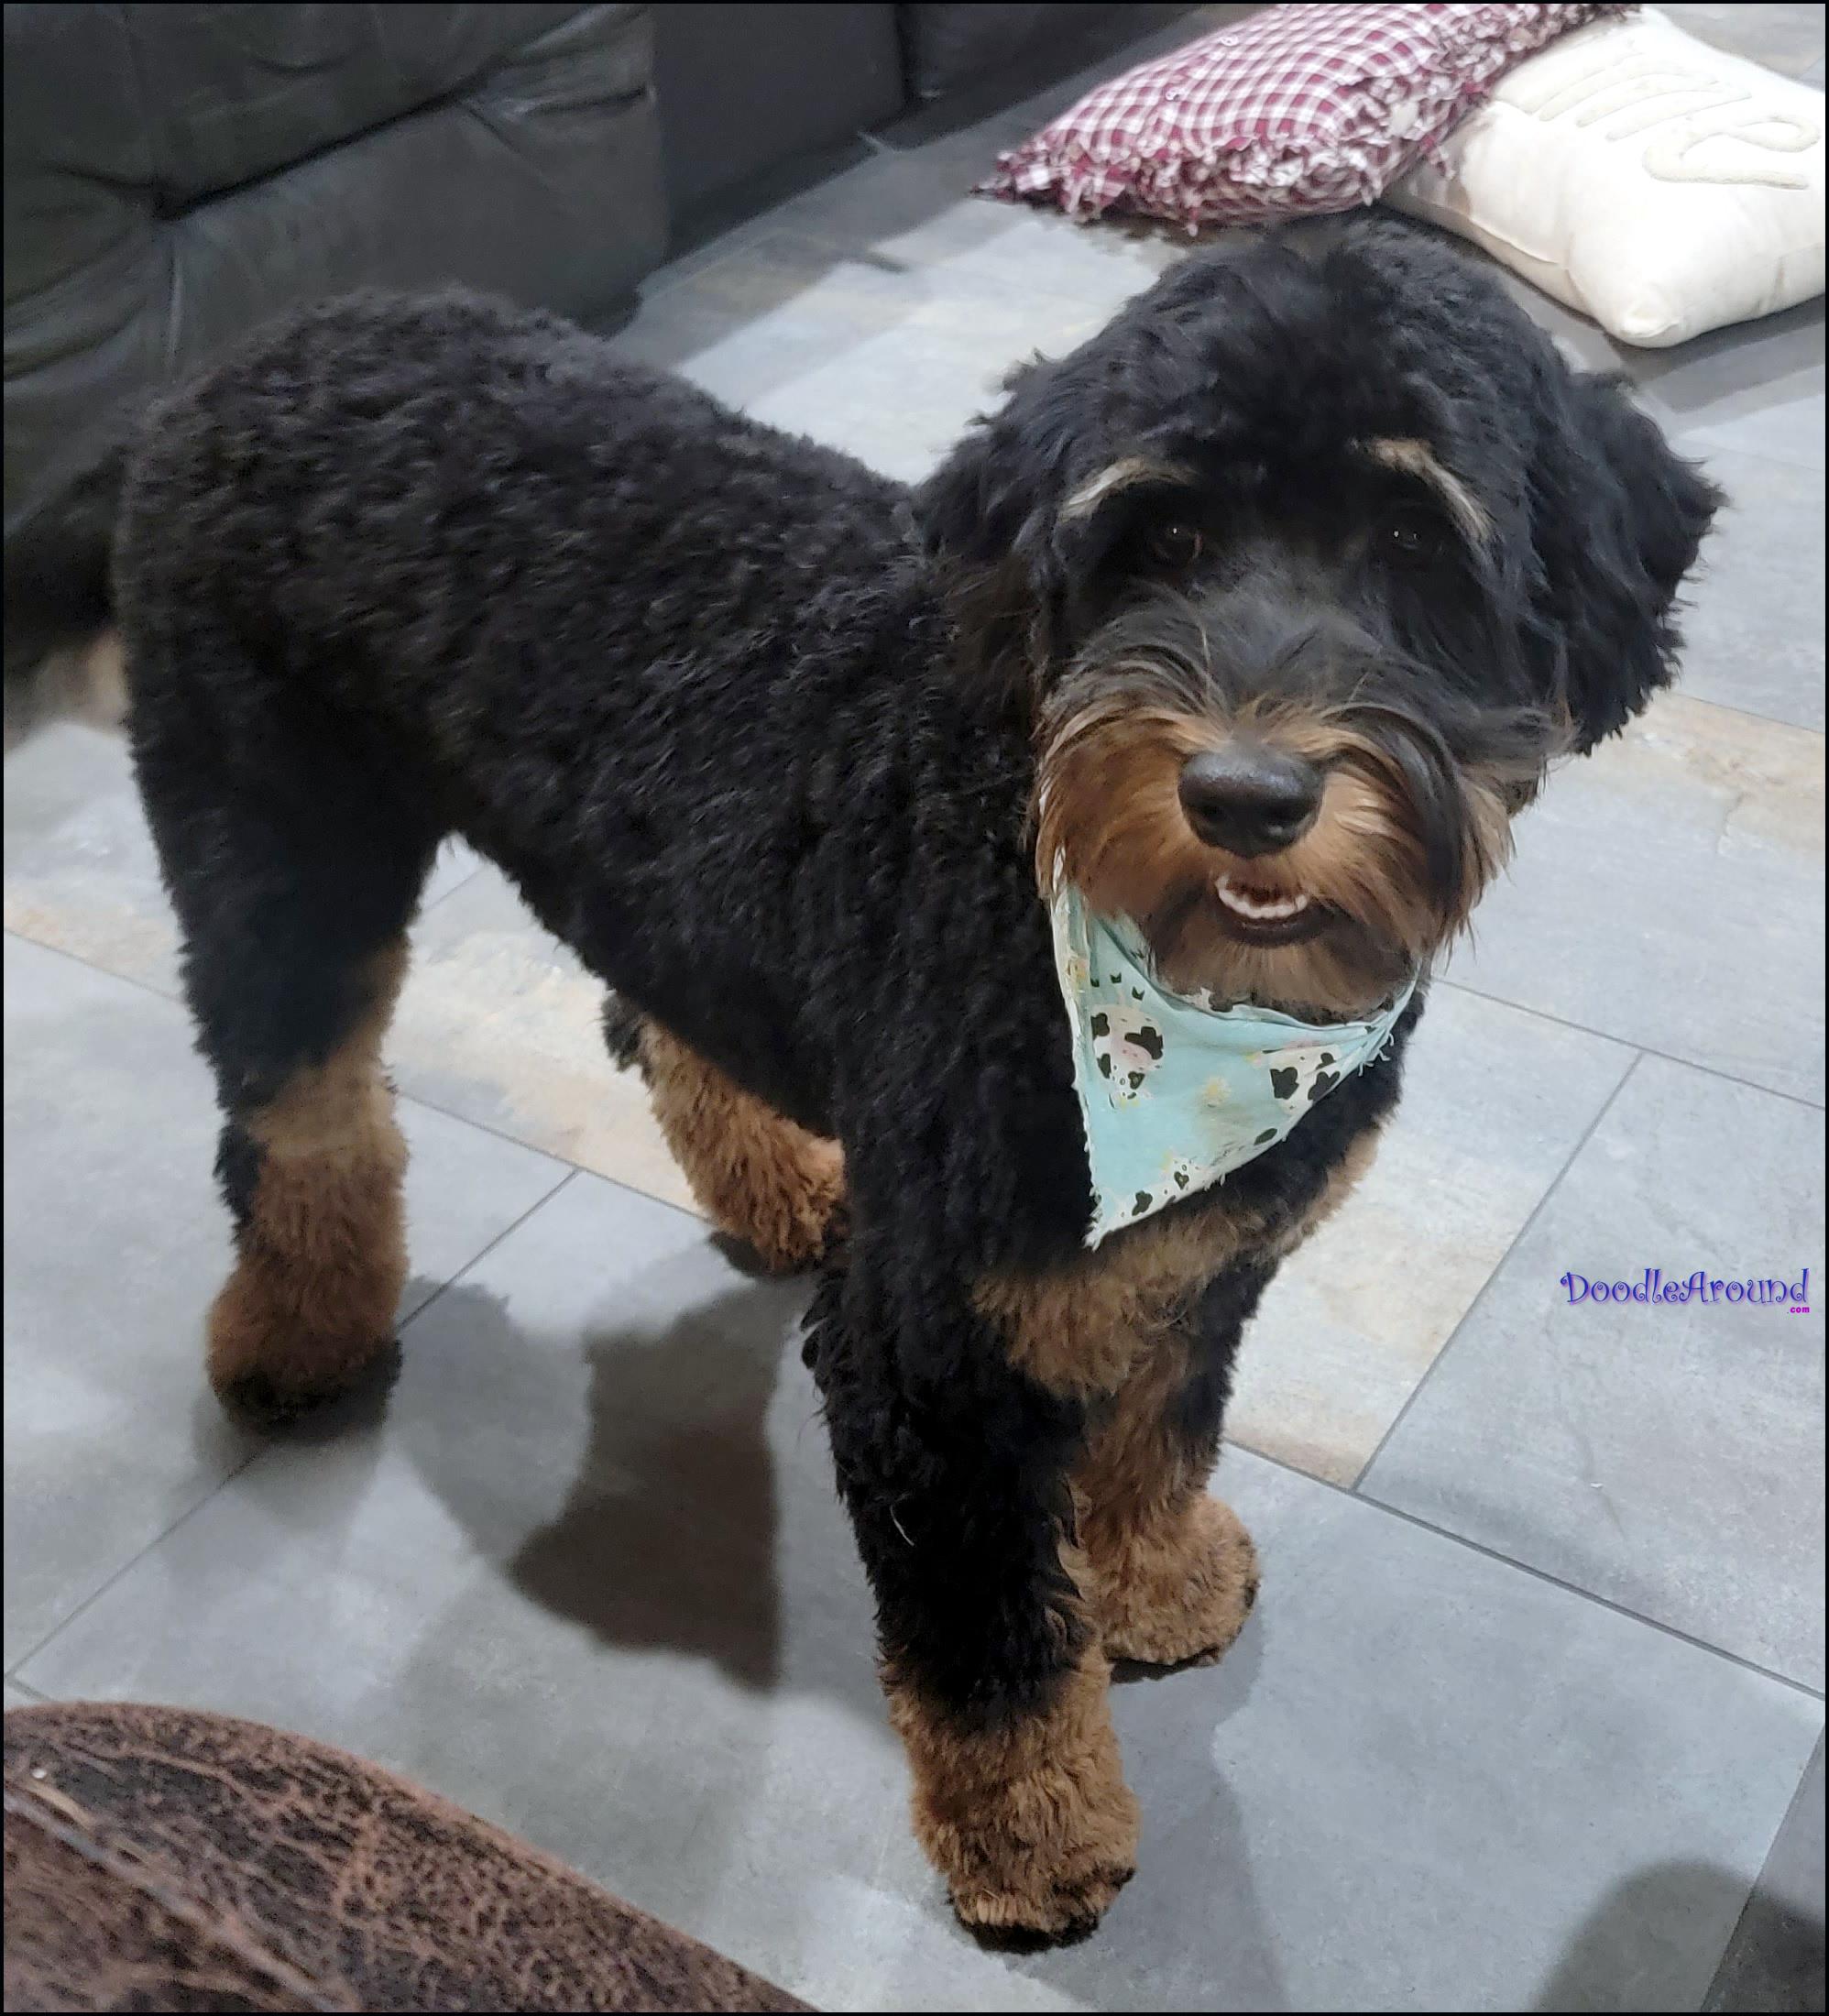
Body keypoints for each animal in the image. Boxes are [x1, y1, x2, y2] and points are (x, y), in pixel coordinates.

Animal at [4, 218, 1718, 1939]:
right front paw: (1035, 1830)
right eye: (1159, 532)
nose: (1245, 794)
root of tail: (222, 374)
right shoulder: (932, 1363)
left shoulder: (1201, 1259)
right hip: (278, 845)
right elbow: (991, 1644)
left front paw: (1154, 1580)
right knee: (300, 1117)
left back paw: (768, 1184)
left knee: (649, 1022)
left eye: (1418, 542)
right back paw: (298, 1330)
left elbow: (1161, 1427)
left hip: (661, 890)